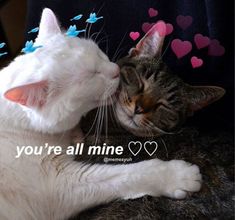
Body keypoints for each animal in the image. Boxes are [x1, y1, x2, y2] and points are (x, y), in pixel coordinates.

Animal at [0, 8, 202, 220]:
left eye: (98, 52)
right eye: (91, 76)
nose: (116, 69)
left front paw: (76, 135)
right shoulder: (59, 186)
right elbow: (129, 174)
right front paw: (177, 176)